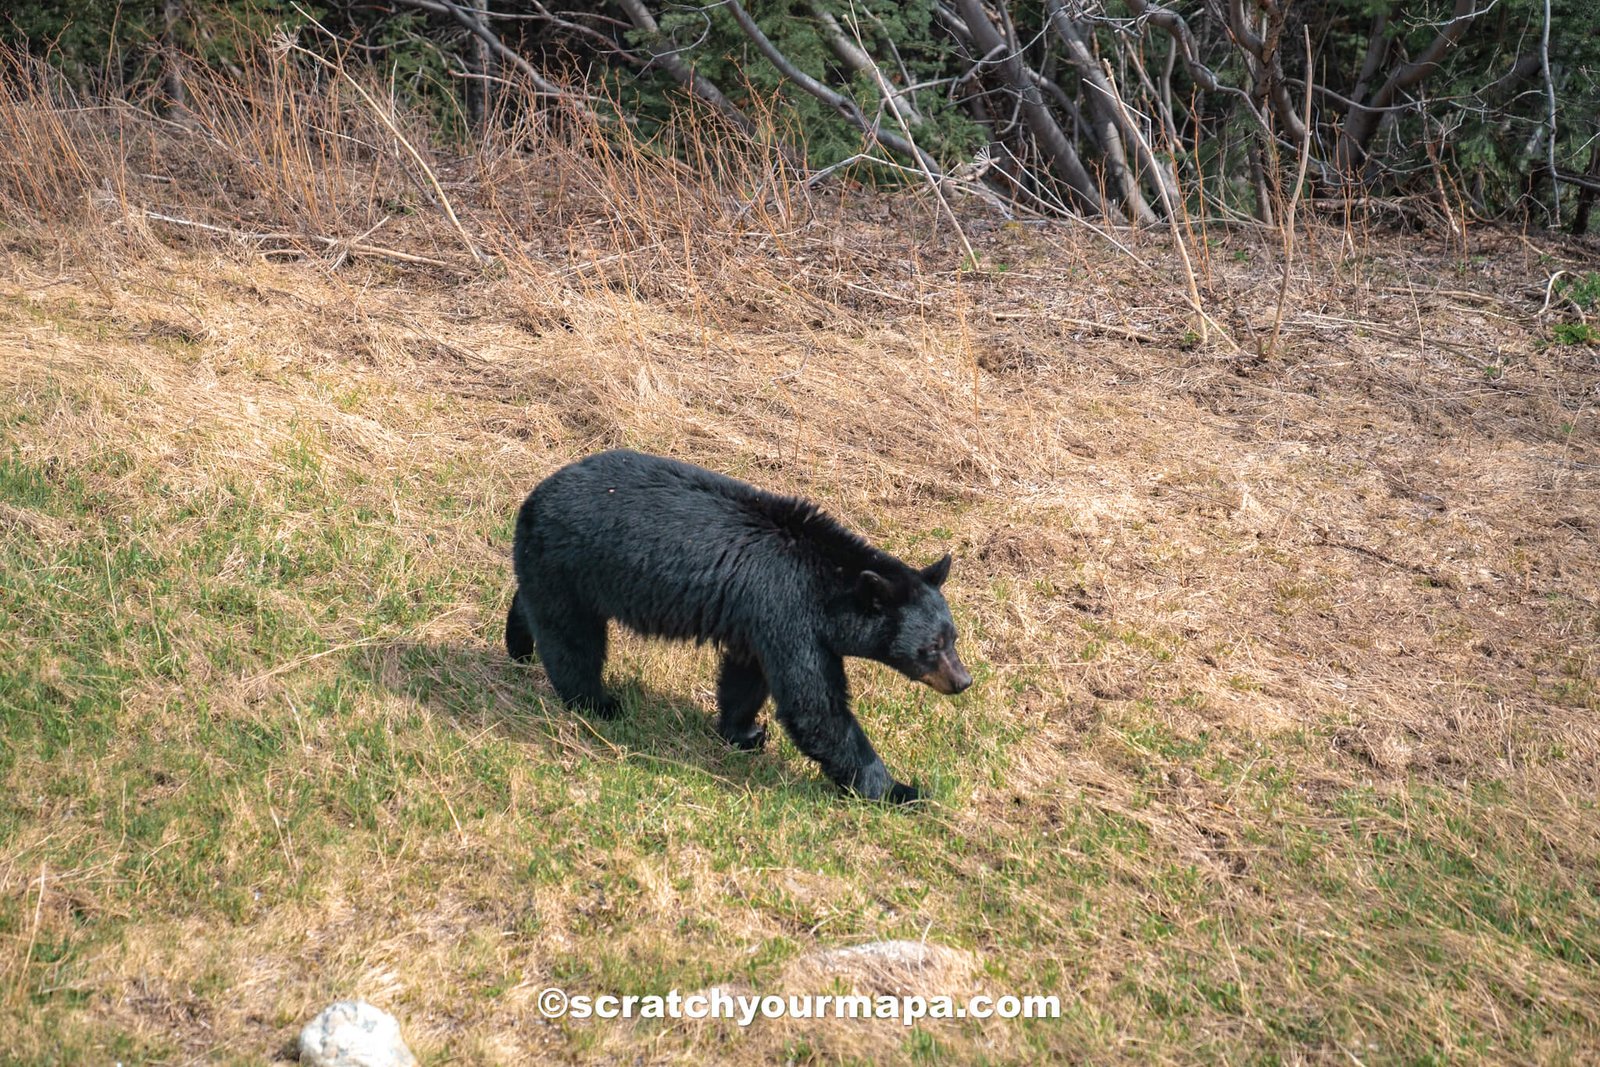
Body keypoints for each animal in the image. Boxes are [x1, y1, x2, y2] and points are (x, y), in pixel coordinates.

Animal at [505, 449, 971, 804]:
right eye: (930, 647)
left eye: (952, 638)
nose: (963, 680)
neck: (828, 583)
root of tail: (535, 495)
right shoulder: (789, 612)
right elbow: (815, 706)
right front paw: (899, 790)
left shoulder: (758, 620)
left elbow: (747, 677)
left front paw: (743, 733)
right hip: (572, 564)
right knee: (572, 640)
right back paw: (596, 703)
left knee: (536, 607)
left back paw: (519, 645)